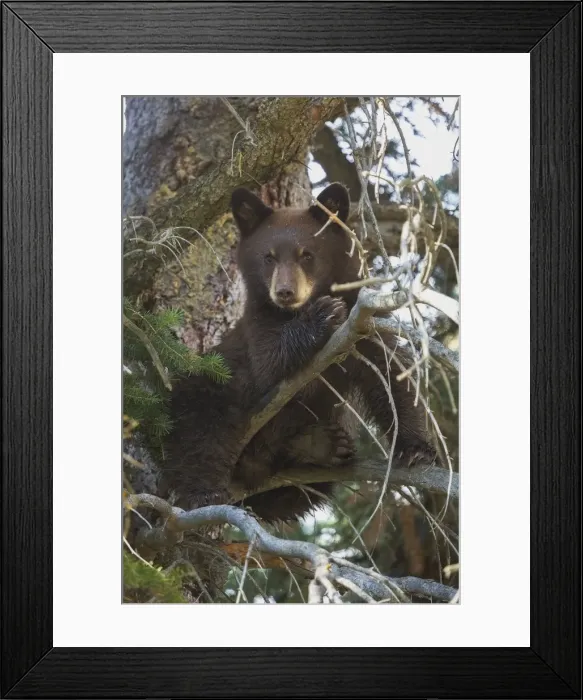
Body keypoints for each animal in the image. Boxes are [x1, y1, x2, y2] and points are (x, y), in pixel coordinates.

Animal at [160, 183, 437, 522]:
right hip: (207, 383)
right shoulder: (257, 325)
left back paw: (321, 445)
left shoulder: (364, 324)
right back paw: (203, 493)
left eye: (307, 254)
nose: (285, 292)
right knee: (199, 427)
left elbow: (390, 376)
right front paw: (321, 316)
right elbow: (269, 362)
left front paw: (417, 448)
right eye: (268, 257)